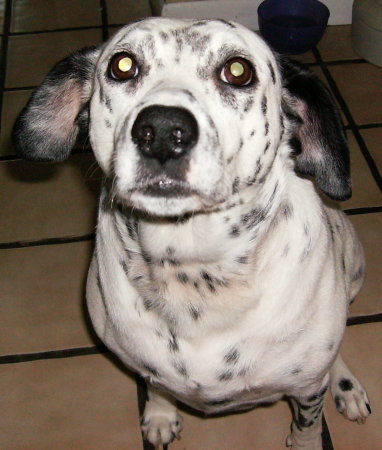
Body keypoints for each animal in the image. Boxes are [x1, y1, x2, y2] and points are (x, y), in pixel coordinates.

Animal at [14, 17, 370, 450]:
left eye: (238, 70)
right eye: (122, 65)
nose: (163, 130)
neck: (194, 273)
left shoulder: (305, 391)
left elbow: (307, 427)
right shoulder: (144, 364)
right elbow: (157, 385)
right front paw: (161, 415)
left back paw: (346, 385)